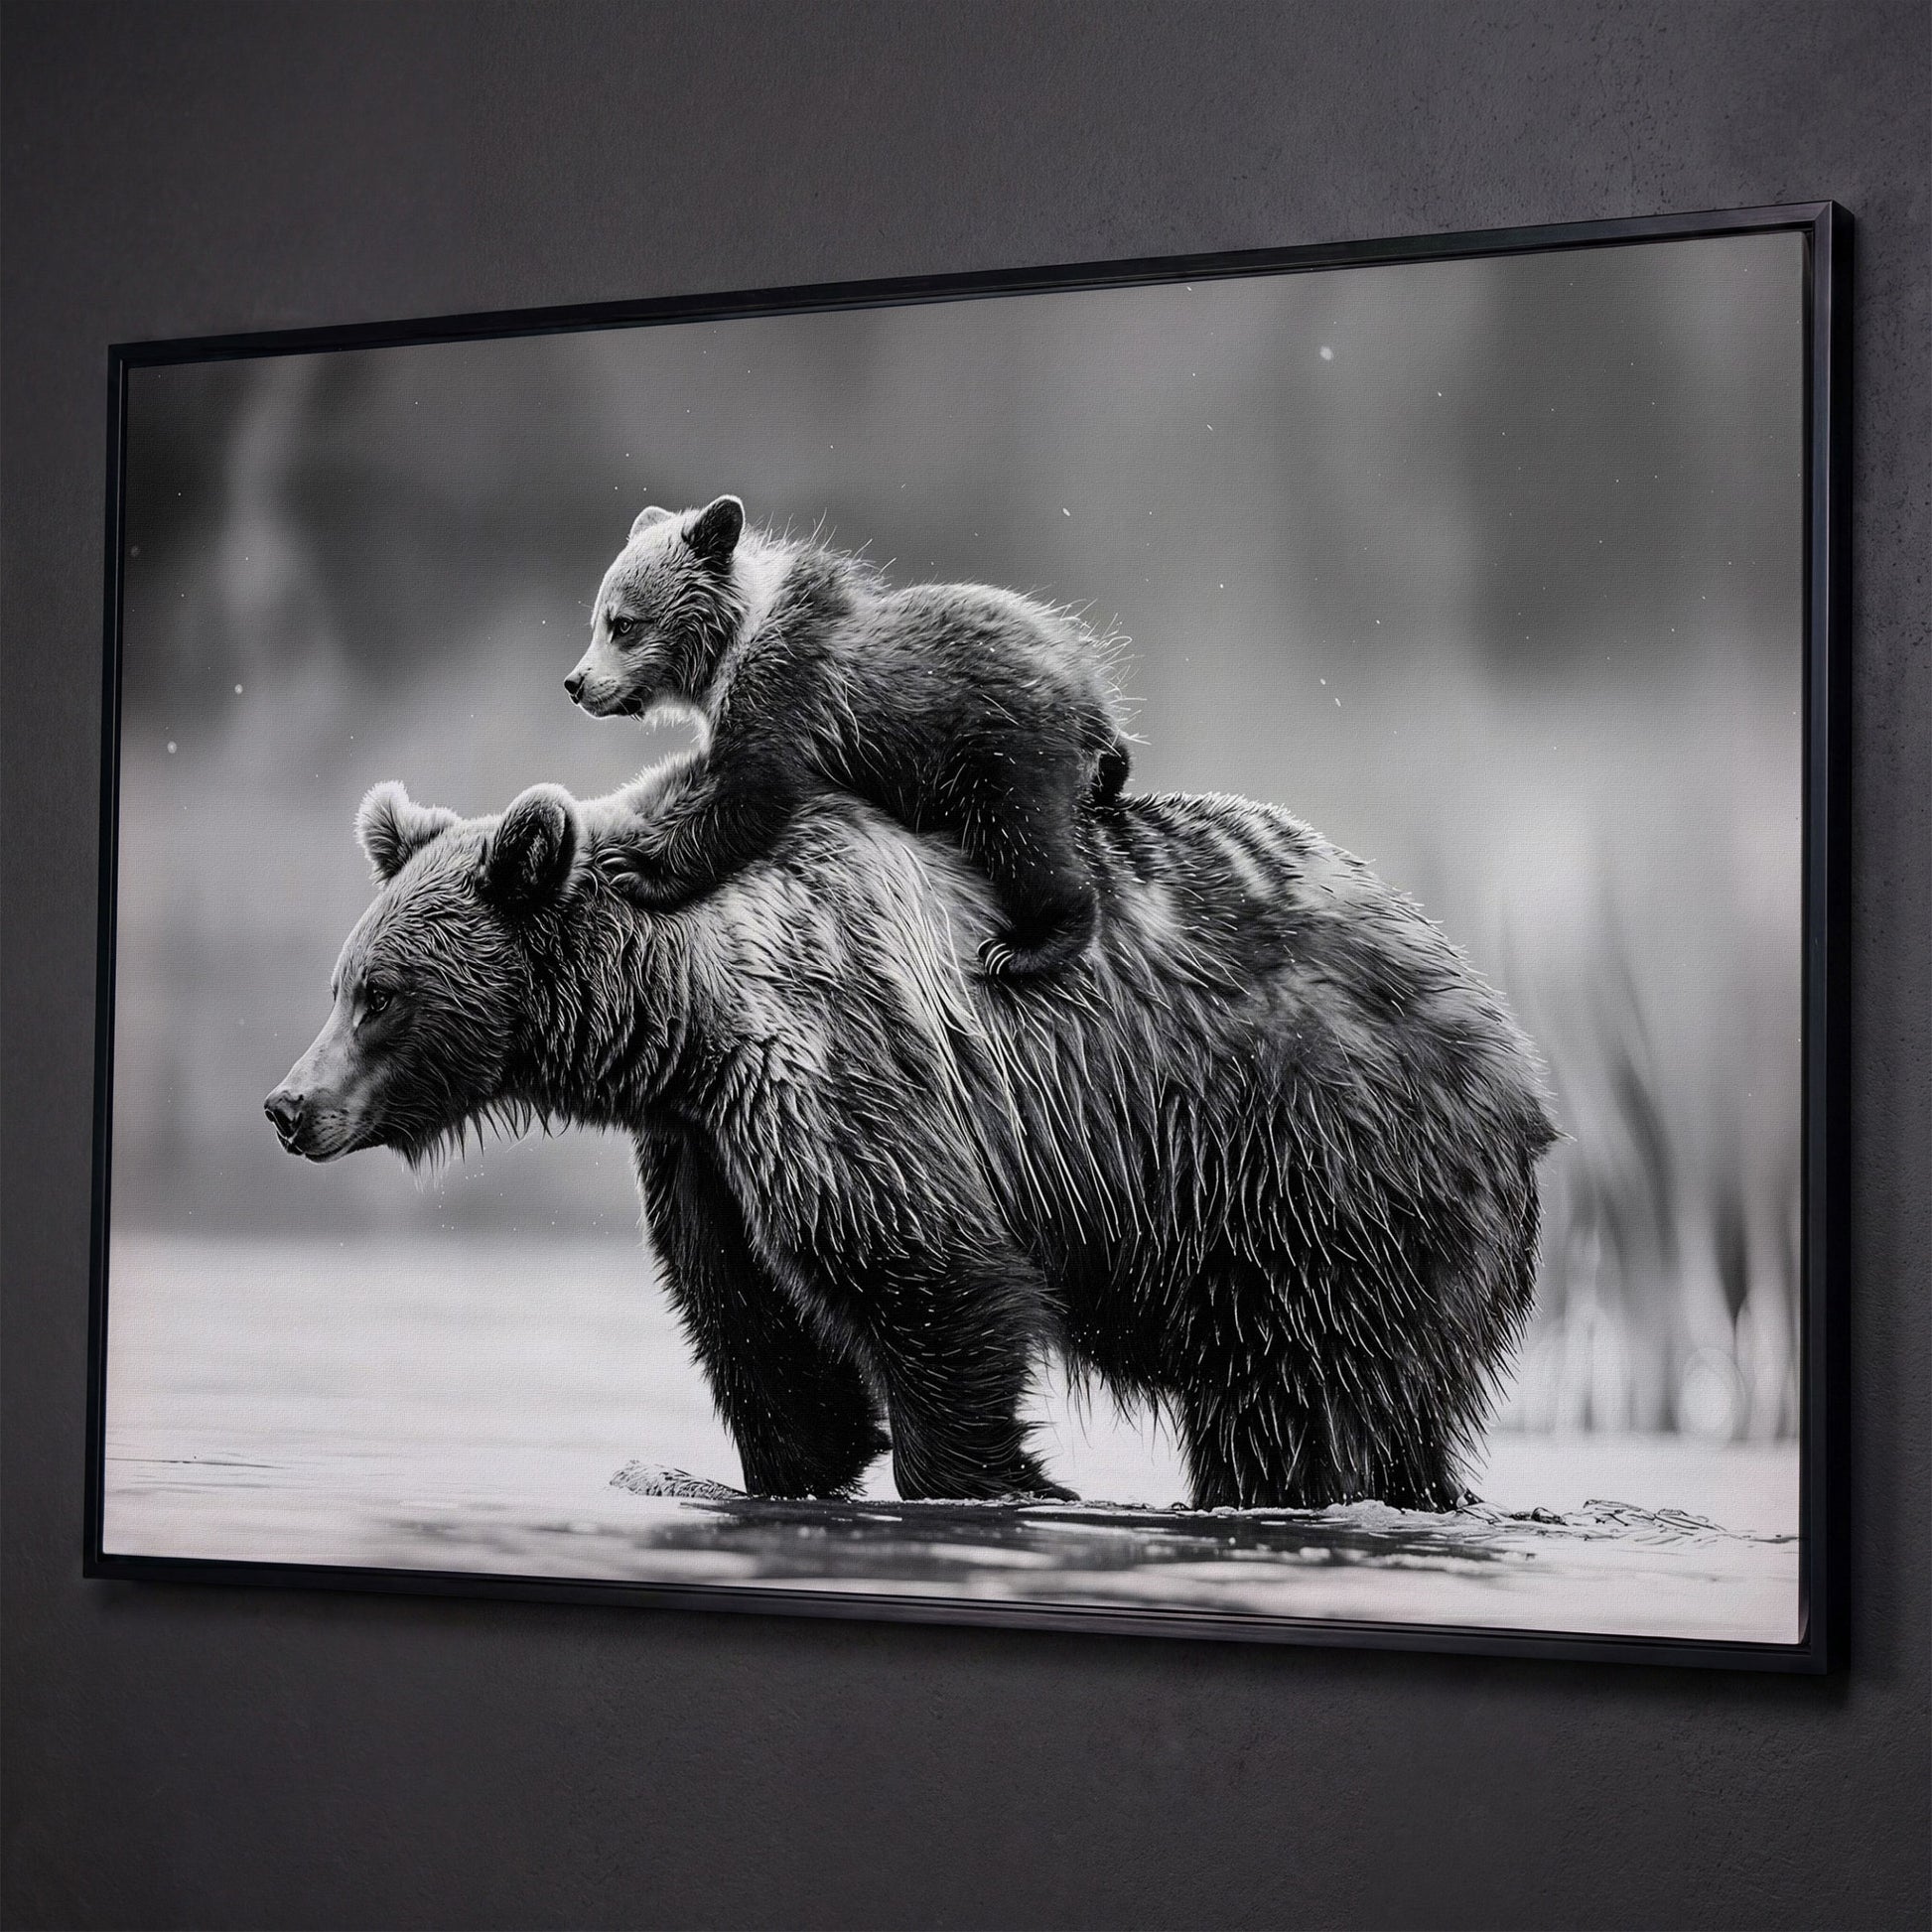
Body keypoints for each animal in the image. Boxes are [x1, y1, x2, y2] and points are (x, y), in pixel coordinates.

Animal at [266, 762, 1557, 1510]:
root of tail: (1513, 1052)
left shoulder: (837, 1064)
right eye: (342, 981)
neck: (679, 1013)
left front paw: (994, 1480)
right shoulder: (703, 1151)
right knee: (1400, 1412)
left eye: (379, 992)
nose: (288, 1105)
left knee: (1289, 1399)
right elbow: (755, 1329)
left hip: (1309, 1170)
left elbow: (927, 1280)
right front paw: (801, 1464)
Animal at [563, 497, 1133, 978]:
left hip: (1003, 746)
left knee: (1025, 837)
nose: (576, 683)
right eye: (597, 620)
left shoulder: (785, 698)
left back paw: (1027, 945)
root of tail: (1087, 688)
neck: (731, 650)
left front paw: (634, 867)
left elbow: (752, 797)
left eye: (624, 623)